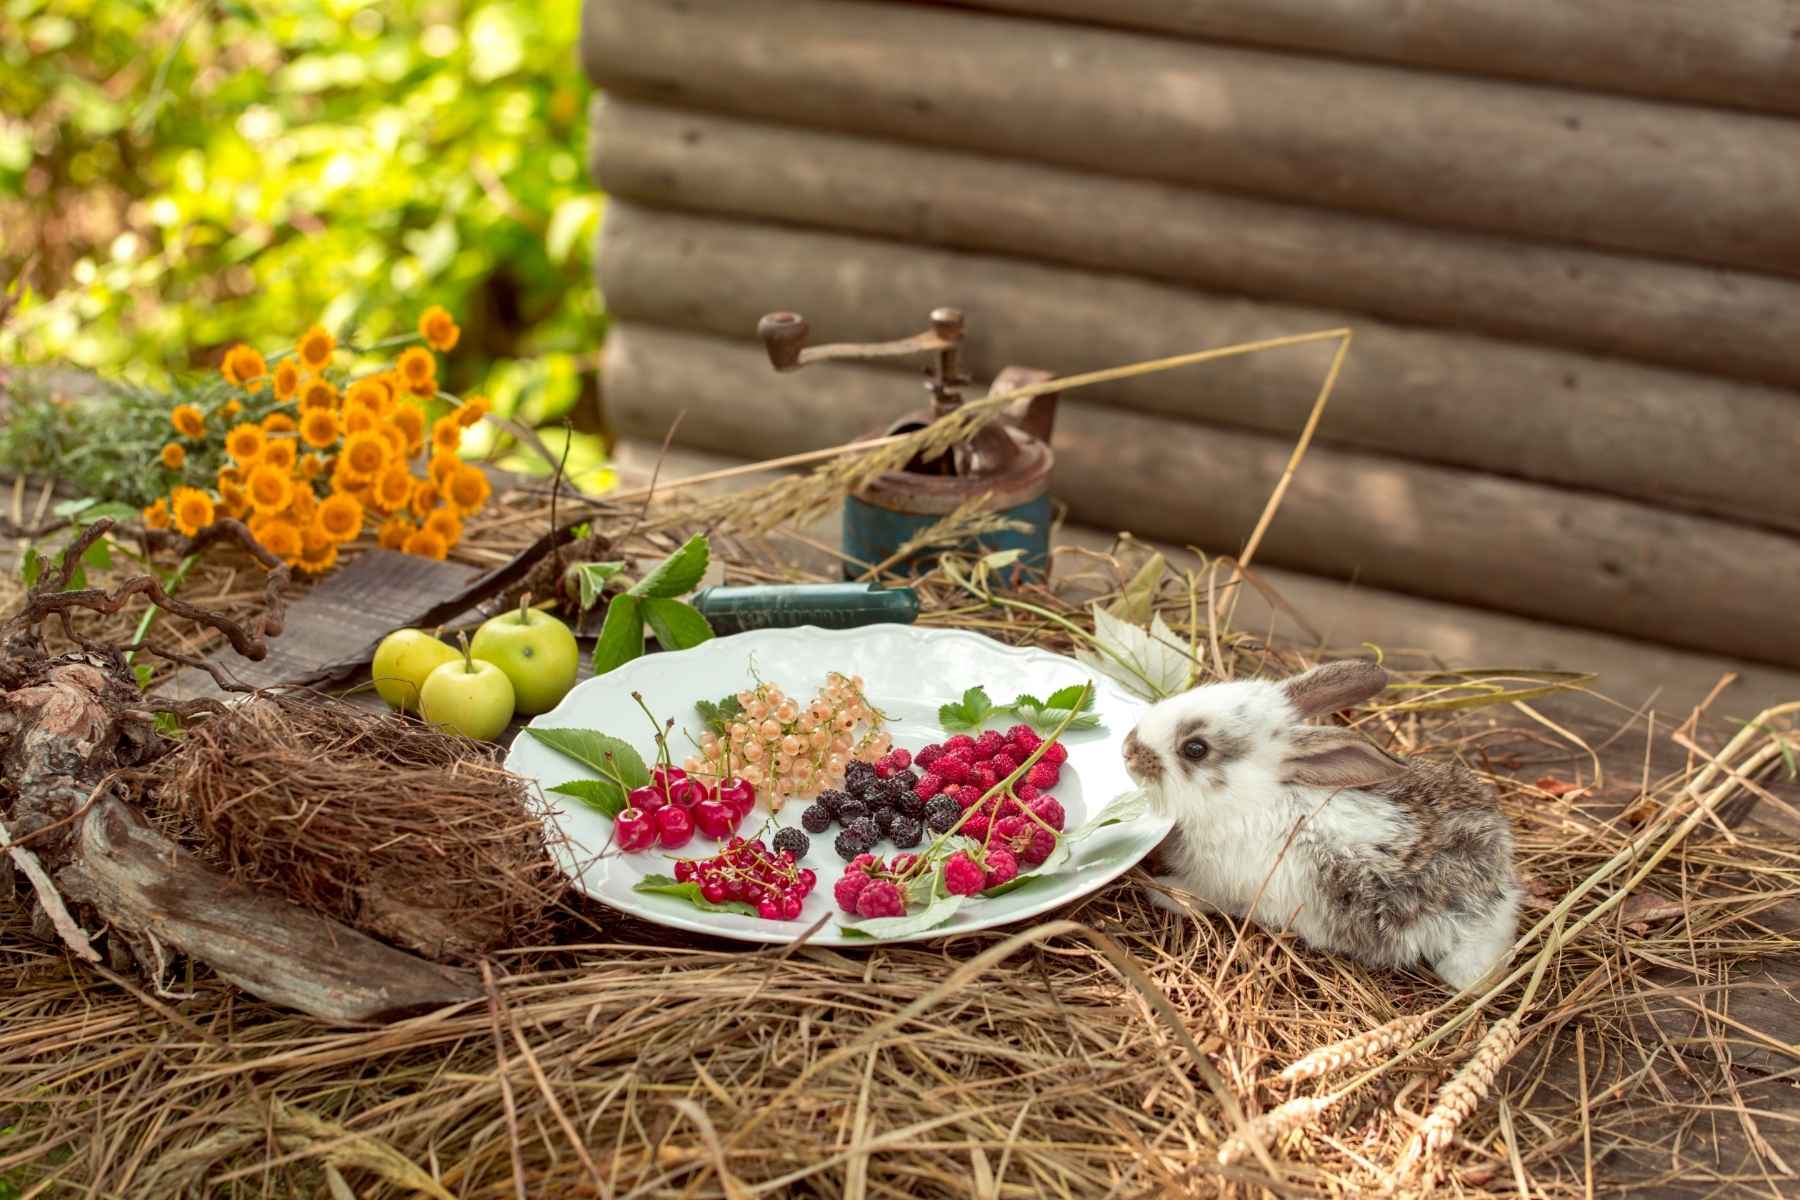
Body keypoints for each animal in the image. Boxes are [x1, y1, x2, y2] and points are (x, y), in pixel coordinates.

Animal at [1123, 662, 1519, 993]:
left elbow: (1198, 898)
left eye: (1195, 749)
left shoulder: (1223, 884)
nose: (1128, 749)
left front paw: (1163, 892)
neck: (1254, 798)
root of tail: (1503, 875)